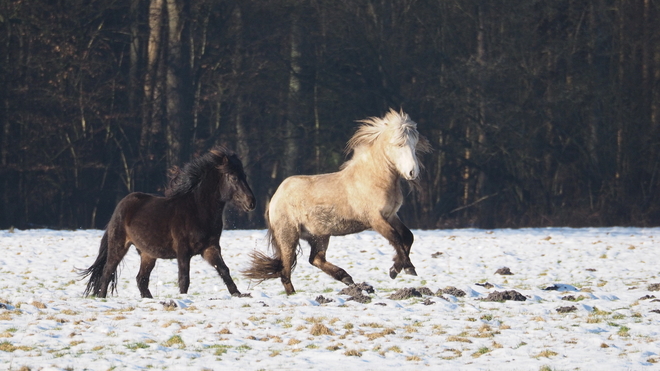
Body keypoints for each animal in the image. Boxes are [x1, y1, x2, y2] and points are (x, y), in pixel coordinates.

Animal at [76, 147, 254, 298]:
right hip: (119, 246)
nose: (252, 202)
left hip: (148, 254)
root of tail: (121, 206)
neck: (197, 210)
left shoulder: (210, 248)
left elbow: (224, 270)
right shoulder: (183, 250)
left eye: (245, 176)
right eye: (233, 177)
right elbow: (184, 278)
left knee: (141, 279)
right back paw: (101, 297)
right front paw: (183, 298)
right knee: (107, 272)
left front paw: (238, 294)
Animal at [245, 109, 430, 294]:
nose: (412, 172)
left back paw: (346, 278)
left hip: (319, 236)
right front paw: (406, 268)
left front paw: (396, 269)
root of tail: (274, 198)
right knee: (286, 270)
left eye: (414, 144)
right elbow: (396, 238)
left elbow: (408, 236)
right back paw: (295, 294)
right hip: (288, 236)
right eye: (398, 144)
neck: (372, 179)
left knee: (315, 259)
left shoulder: (391, 215)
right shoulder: (375, 219)